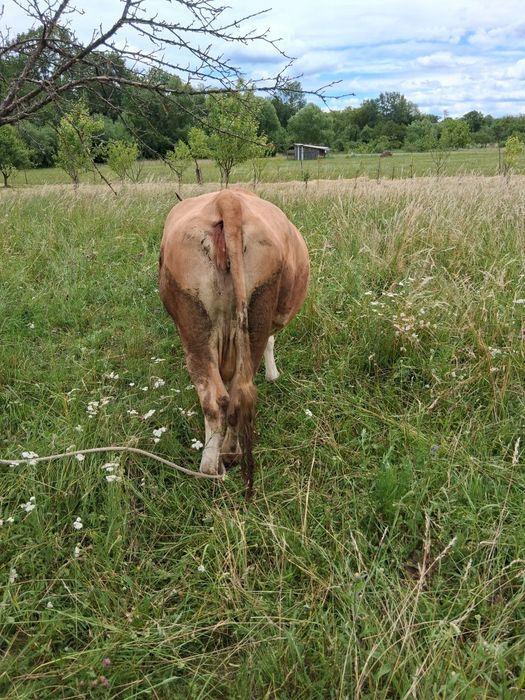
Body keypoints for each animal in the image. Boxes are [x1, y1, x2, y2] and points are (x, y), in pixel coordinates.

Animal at [159, 188, 309, 497]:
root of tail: (227, 199)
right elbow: (271, 343)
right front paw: (274, 374)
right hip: (255, 316)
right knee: (230, 395)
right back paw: (223, 460)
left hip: (197, 326)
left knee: (220, 398)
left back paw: (214, 465)